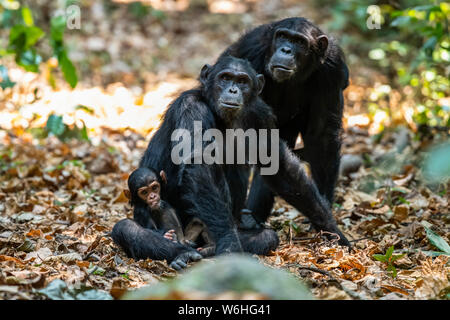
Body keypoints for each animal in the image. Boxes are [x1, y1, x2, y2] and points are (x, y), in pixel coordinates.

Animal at [135, 54, 350, 255]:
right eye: (225, 78)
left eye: (242, 81)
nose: (233, 90)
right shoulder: (191, 109)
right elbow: (199, 164)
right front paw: (229, 243)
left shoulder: (259, 114)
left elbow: (278, 164)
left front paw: (333, 231)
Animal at [220, 17, 350, 226]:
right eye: (282, 36)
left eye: (299, 42)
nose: (286, 50)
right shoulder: (251, 53)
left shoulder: (333, 69)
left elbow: (322, 136)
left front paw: (324, 212)